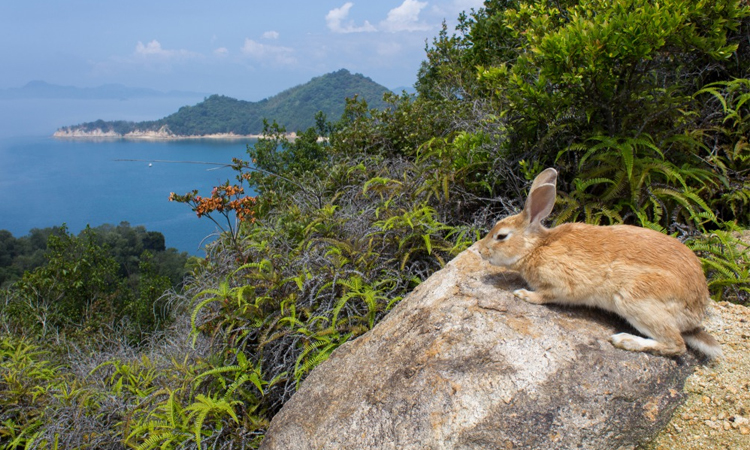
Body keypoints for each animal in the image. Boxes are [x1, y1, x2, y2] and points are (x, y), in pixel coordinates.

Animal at [478, 167, 724, 360]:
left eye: (501, 236)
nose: (480, 250)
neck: (536, 247)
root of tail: (697, 309)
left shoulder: (562, 283)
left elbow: (546, 295)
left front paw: (523, 294)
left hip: (635, 300)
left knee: (677, 345)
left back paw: (625, 341)